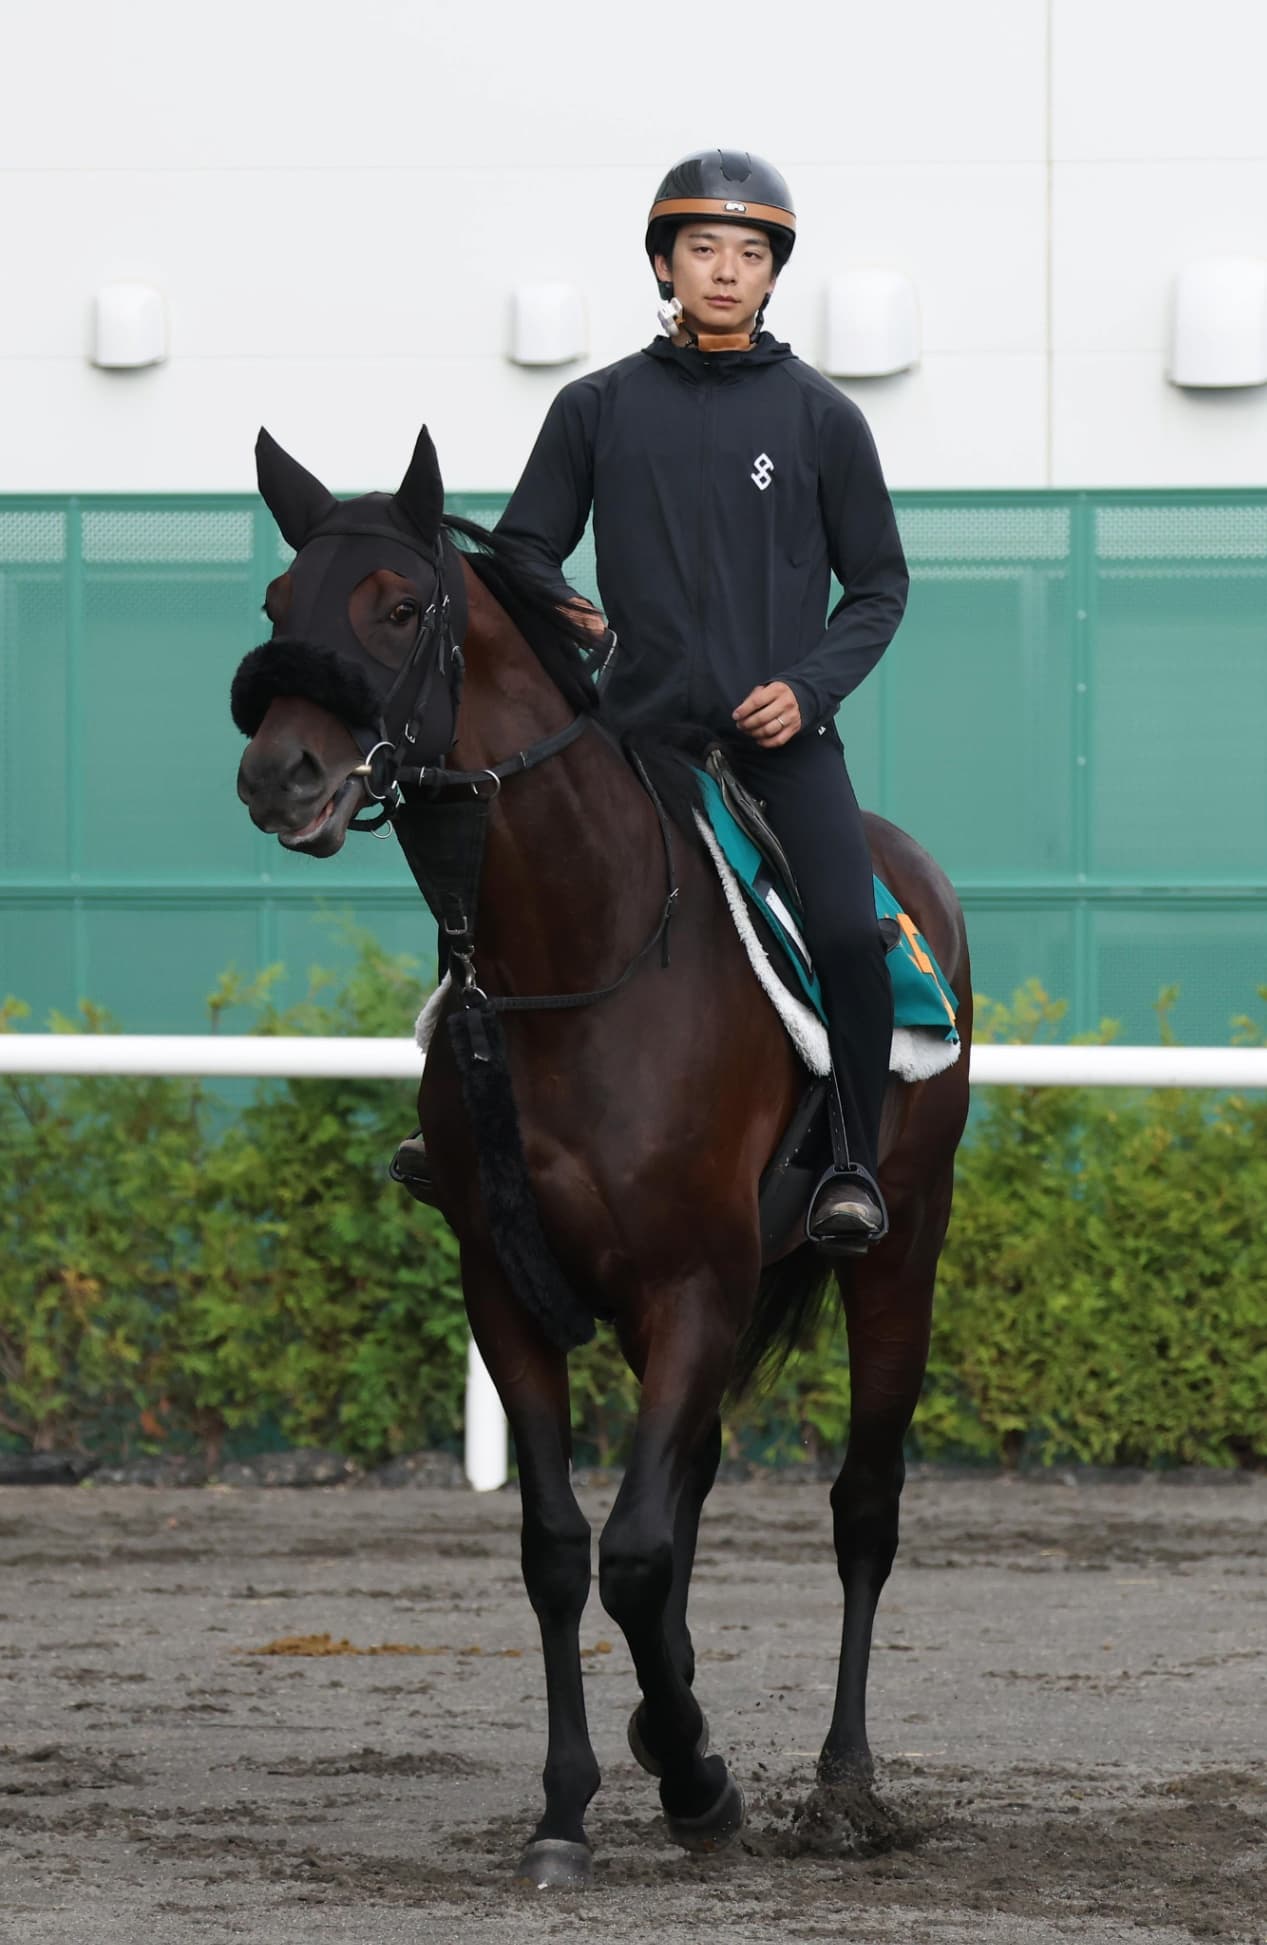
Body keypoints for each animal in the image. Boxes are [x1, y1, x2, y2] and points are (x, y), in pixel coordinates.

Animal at [230, 423, 973, 1888]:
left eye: (397, 605)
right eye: (280, 604)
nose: (277, 775)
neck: (579, 957)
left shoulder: (695, 1282)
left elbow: (632, 1549)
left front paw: (697, 1776)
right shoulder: (510, 1289)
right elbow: (562, 1546)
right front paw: (572, 1802)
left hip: (896, 1251)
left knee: (862, 1503)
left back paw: (840, 1782)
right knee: (685, 1485)